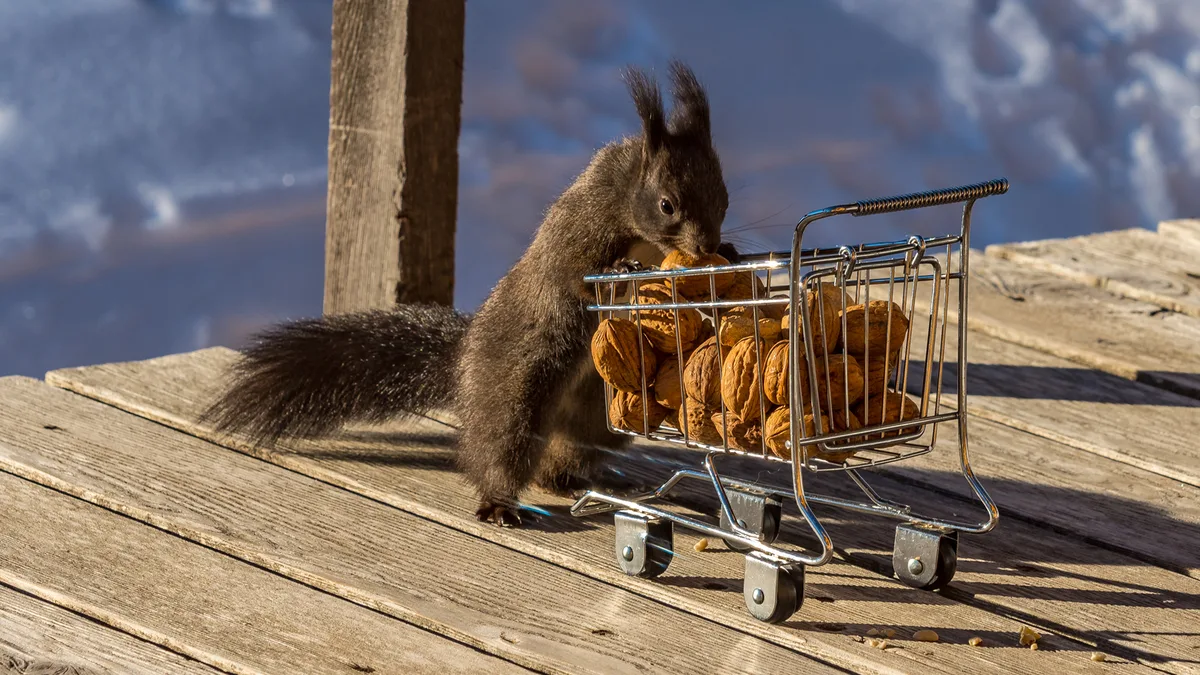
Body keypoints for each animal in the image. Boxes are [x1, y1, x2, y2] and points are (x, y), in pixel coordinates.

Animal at [200, 60, 736, 527]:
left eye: (725, 198)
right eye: (667, 205)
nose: (707, 245)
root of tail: (464, 357)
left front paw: (724, 260)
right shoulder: (578, 225)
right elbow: (572, 273)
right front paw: (621, 268)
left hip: (602, 410)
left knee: (564, 455)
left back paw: (580, 481)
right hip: (517, 383)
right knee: (501, 444)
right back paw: (498, 501)